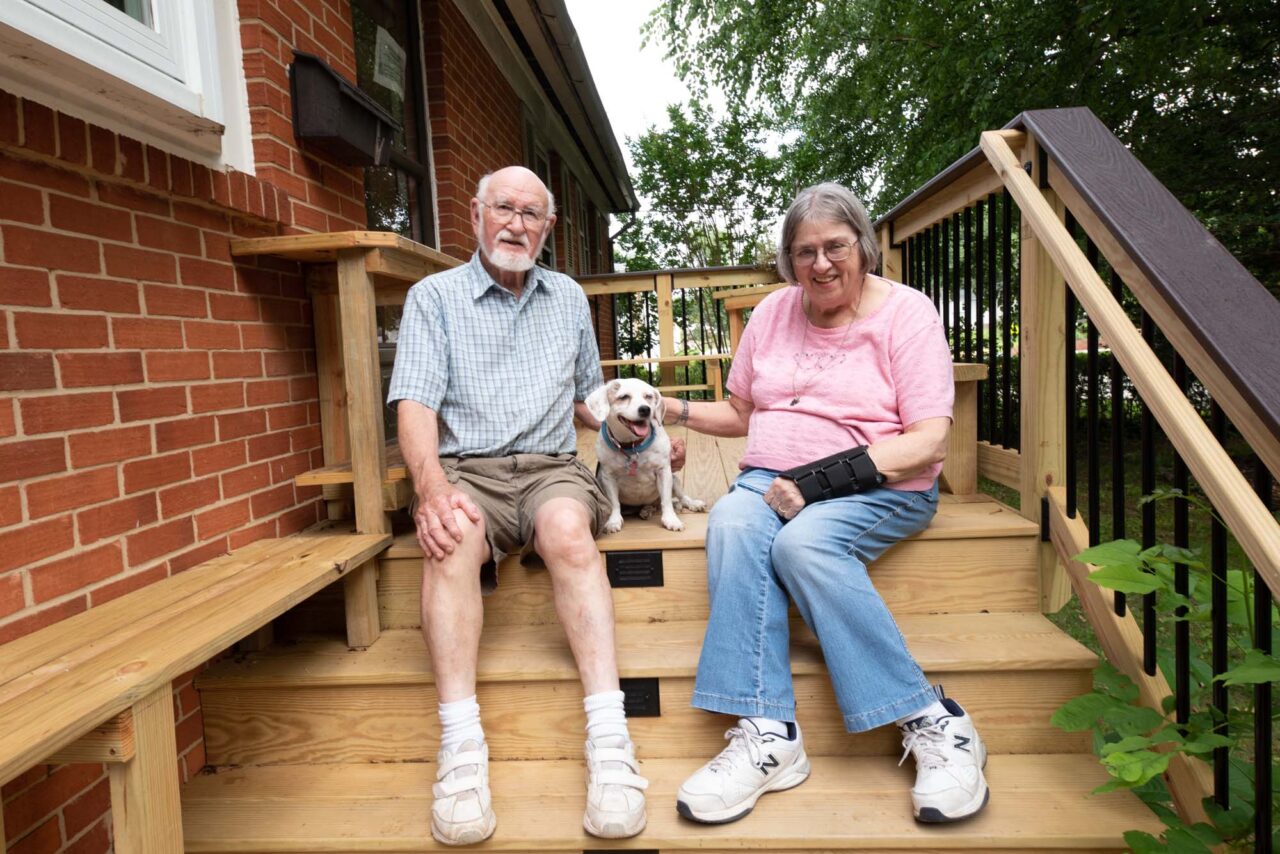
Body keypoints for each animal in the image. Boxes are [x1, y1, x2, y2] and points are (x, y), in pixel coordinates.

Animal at [583, 376, 706, 530]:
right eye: (624, 397)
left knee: (681, 497)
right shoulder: (607, 477)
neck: (632, 446)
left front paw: (671, 519)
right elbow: (614, 503)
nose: (645, 409)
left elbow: (666, 500)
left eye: (648, 396)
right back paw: (646, 510)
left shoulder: (664, 472)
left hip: (675, 479)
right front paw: (613, 521)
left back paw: (691, 503)